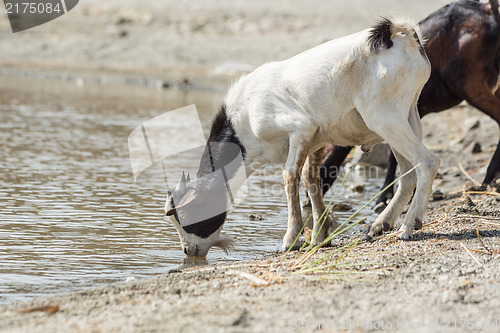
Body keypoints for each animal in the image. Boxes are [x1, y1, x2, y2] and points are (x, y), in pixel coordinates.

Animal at [163, 16, 438, 255]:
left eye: (184, 215)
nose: (187, 250)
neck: (245, 115)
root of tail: (401, 35)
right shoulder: (316, 138)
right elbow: (310, 177)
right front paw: (319, 236)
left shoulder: (299, 128)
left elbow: (290, 175)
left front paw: (291, 240)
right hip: (407, 116)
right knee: (408, 172)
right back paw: (380, 225)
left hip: (383, 117)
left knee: (427, 162)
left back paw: (408, 226)